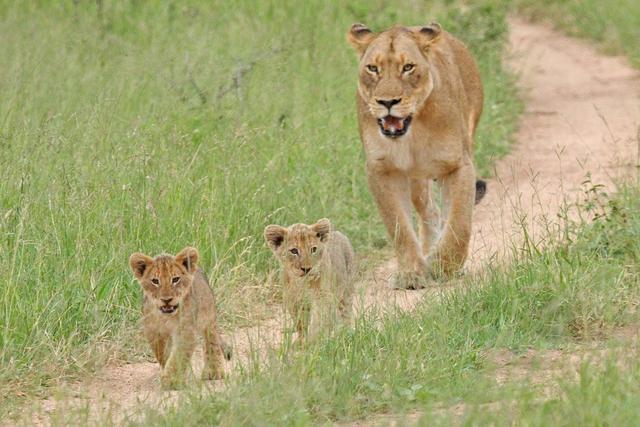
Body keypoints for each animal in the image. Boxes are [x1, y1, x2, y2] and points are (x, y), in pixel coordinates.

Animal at [129, 247, 231, 389]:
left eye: (175, 279)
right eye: (155, 281)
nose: (166, 300)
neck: (166, 317)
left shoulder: (185, 331)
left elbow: (178, 356)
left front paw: (171, 381)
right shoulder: (154, 332)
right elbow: (164, 354)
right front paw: (172, 374)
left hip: (208, 317)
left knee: (211, 341)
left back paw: (214, 371)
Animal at [347, 22, 486, 289]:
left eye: (408, 67)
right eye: (373, 68)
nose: (387, 102)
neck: (413, 132)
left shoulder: (458, 165)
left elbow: (459, 222)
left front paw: (446, 267)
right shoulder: (382, 170)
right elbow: (398, 226)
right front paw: (412, 274)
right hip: (416, 181)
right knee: (430, 211)